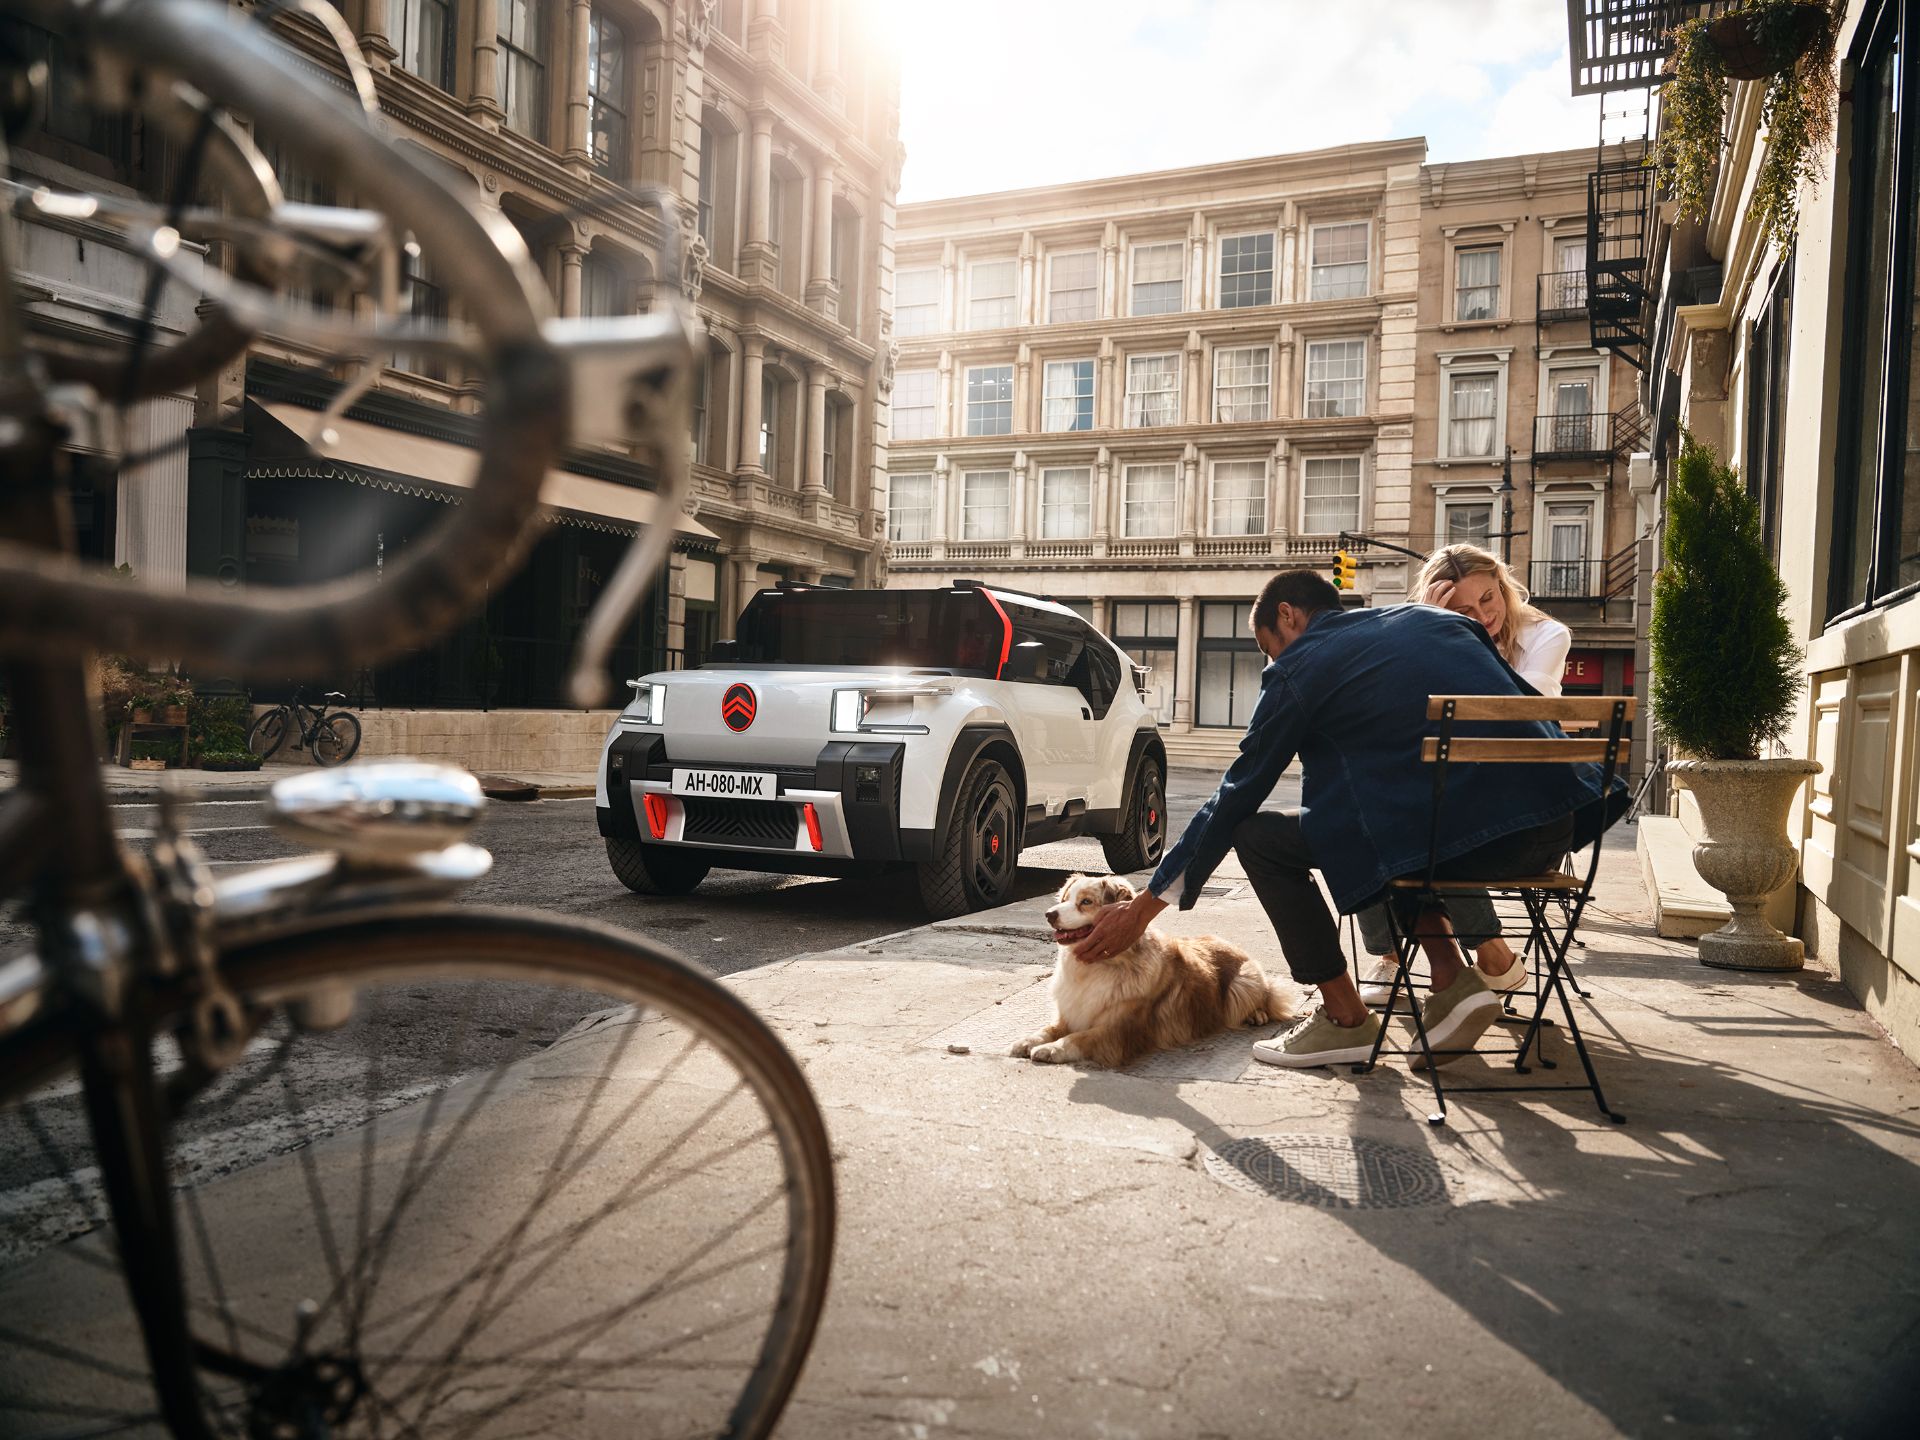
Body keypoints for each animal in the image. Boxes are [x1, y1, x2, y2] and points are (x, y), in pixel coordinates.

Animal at [1013, 867, 1297, 1075]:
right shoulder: (1070, 1014)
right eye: (1065, 899)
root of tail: (1233, 944)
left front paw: (1051, 1050)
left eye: (1086, 902)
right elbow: (1048, 1029)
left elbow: (1078, 1038)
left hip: (1243, 983)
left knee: (1268, 997)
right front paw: (1028, 1041)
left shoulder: (1117, 1031)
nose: (1049, 914)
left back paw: (1257, 1014)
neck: (1098, 966)